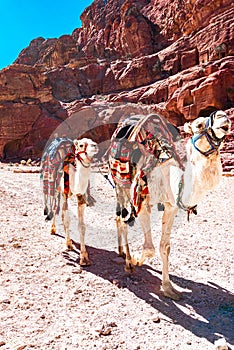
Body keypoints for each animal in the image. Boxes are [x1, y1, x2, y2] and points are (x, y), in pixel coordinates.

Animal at [43, 137, 98, 266]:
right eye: (81, 145)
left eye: (92, 141)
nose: (95, 146)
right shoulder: (65, 194)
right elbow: (67, 220)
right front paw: (68, 244)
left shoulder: (81, 197)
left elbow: (82, 226)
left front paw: (84, 258)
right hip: (56, 189)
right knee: (55, 208)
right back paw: (53, 229)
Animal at [109, 110, 230, 300]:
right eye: (198, 125)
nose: (222, 116)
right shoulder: (143, 200)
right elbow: (149, 248)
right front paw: (135, 259)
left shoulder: (171, 206)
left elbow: (165, 247)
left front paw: (168, 288)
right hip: (121, 186)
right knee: (121, 220)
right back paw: (127, 261)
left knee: (120, 219)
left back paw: (122, 252)